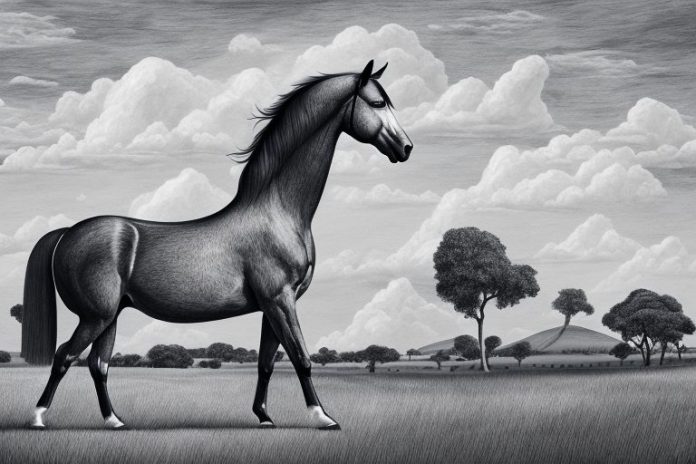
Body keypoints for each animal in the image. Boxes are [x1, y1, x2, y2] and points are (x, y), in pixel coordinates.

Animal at [22, 60, 413, 430]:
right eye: (377, 103)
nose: (406, 147)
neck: (276, 211)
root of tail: (68, 232)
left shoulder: (272, 305)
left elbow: (267, 362)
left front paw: (264, 416)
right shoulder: (280, 299)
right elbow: (301, 358)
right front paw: (323, 417)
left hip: (110, 315)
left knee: (97, 364)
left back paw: (114, 421)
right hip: (95, 316)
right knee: (64, 356)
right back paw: (38, 418)